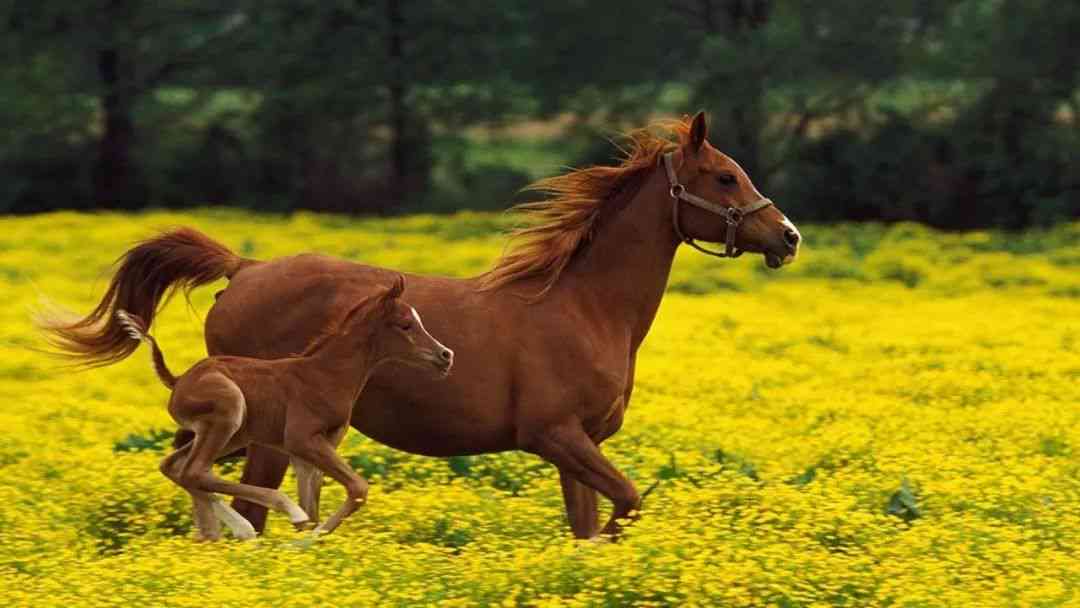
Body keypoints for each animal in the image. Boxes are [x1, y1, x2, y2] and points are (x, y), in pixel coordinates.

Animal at [116, 278, 453, 539]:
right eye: (406, 325)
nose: (445, 355)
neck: (327, 374)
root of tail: (178, 380)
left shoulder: (311, 450)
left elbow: (316, 506)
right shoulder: (301, 439)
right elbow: (357, 488)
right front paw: (305, 539)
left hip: (233, 434)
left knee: (177, 467)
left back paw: (217, 532)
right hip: (229, 411)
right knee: (195, 470)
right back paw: (264, 519)